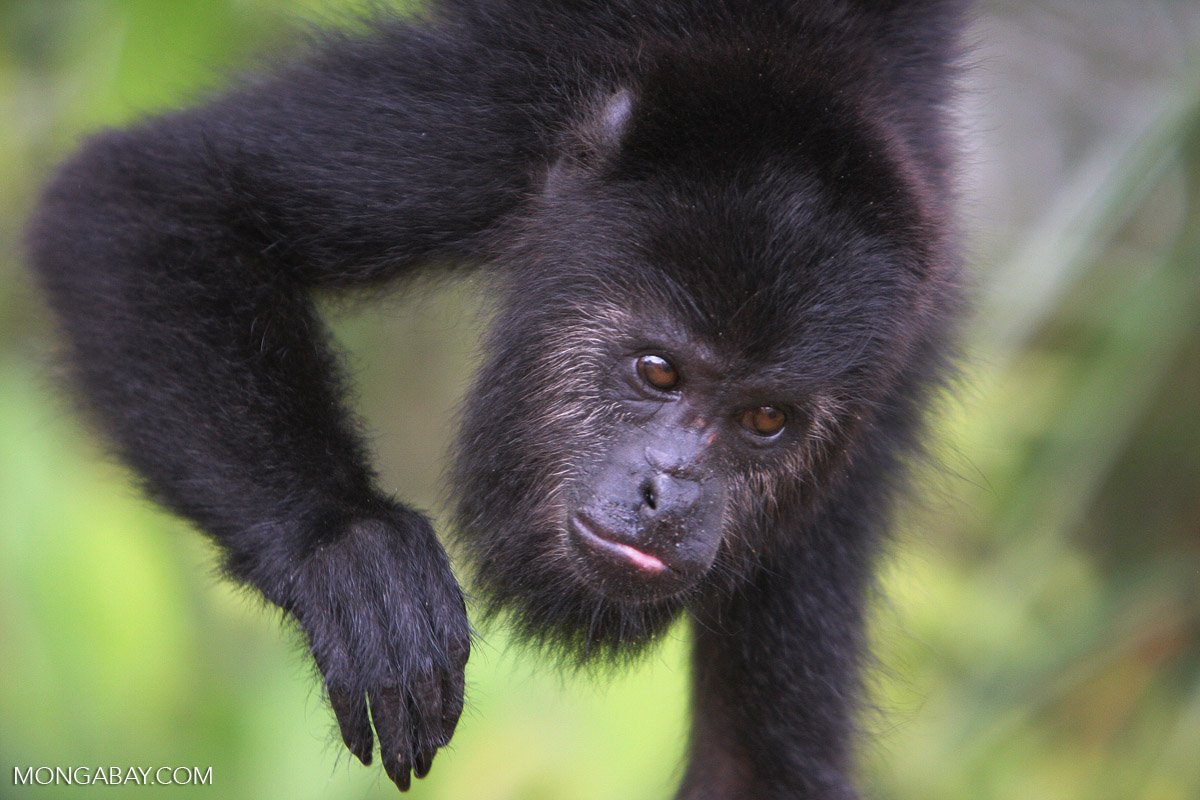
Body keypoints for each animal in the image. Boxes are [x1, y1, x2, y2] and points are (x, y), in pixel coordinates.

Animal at [25, 3, 964, 796]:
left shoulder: (898, 373)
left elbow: (758, 764)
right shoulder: (502, 101)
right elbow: (147, 196)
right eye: (657, 372)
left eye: (766, 420)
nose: (669, 494)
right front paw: (345, 546)